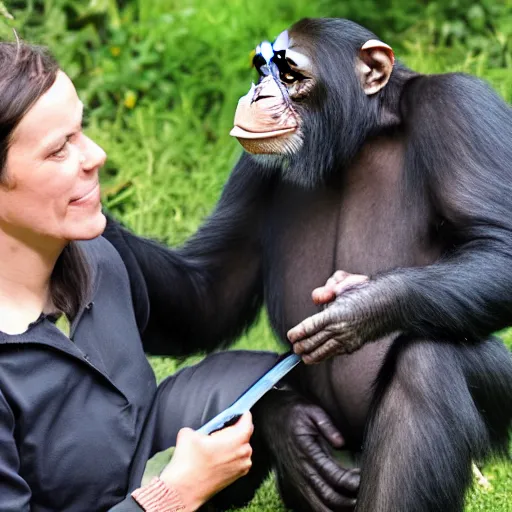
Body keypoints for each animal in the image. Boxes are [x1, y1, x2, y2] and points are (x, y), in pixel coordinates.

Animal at [104, 18, 512, 512]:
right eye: (262, 70)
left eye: (290, 74)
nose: (259, 92)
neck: (362, 135)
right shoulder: (250, 169)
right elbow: (211, 293)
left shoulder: (459, 107)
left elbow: (500, 247)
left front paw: (359, 307)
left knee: (428, 364)